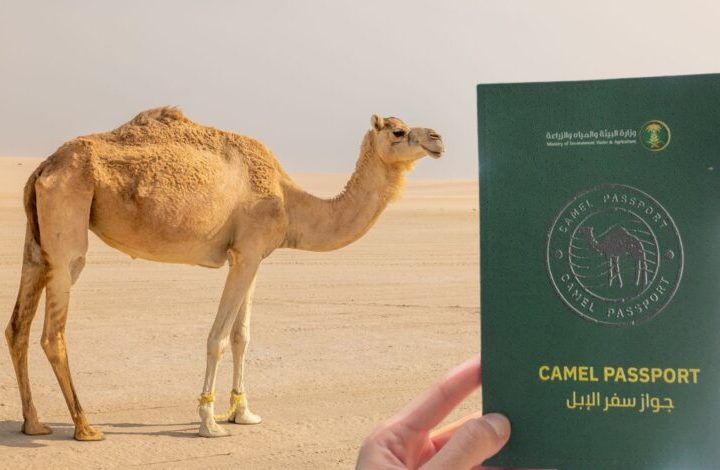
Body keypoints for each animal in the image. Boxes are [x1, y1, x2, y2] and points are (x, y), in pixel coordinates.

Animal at [4, 107, 444, 440]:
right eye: (399, 130)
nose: (437, 138)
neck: (290, 202)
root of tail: (45, 166)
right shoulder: (247, 251)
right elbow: (217, 337)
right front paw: (209, 422)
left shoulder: (249, 256)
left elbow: (241, 336)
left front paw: (243, 412)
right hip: (69, 216)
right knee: (54, 329)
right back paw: (85, 427)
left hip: (37, 236)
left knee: (17, 324)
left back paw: (34, 423)